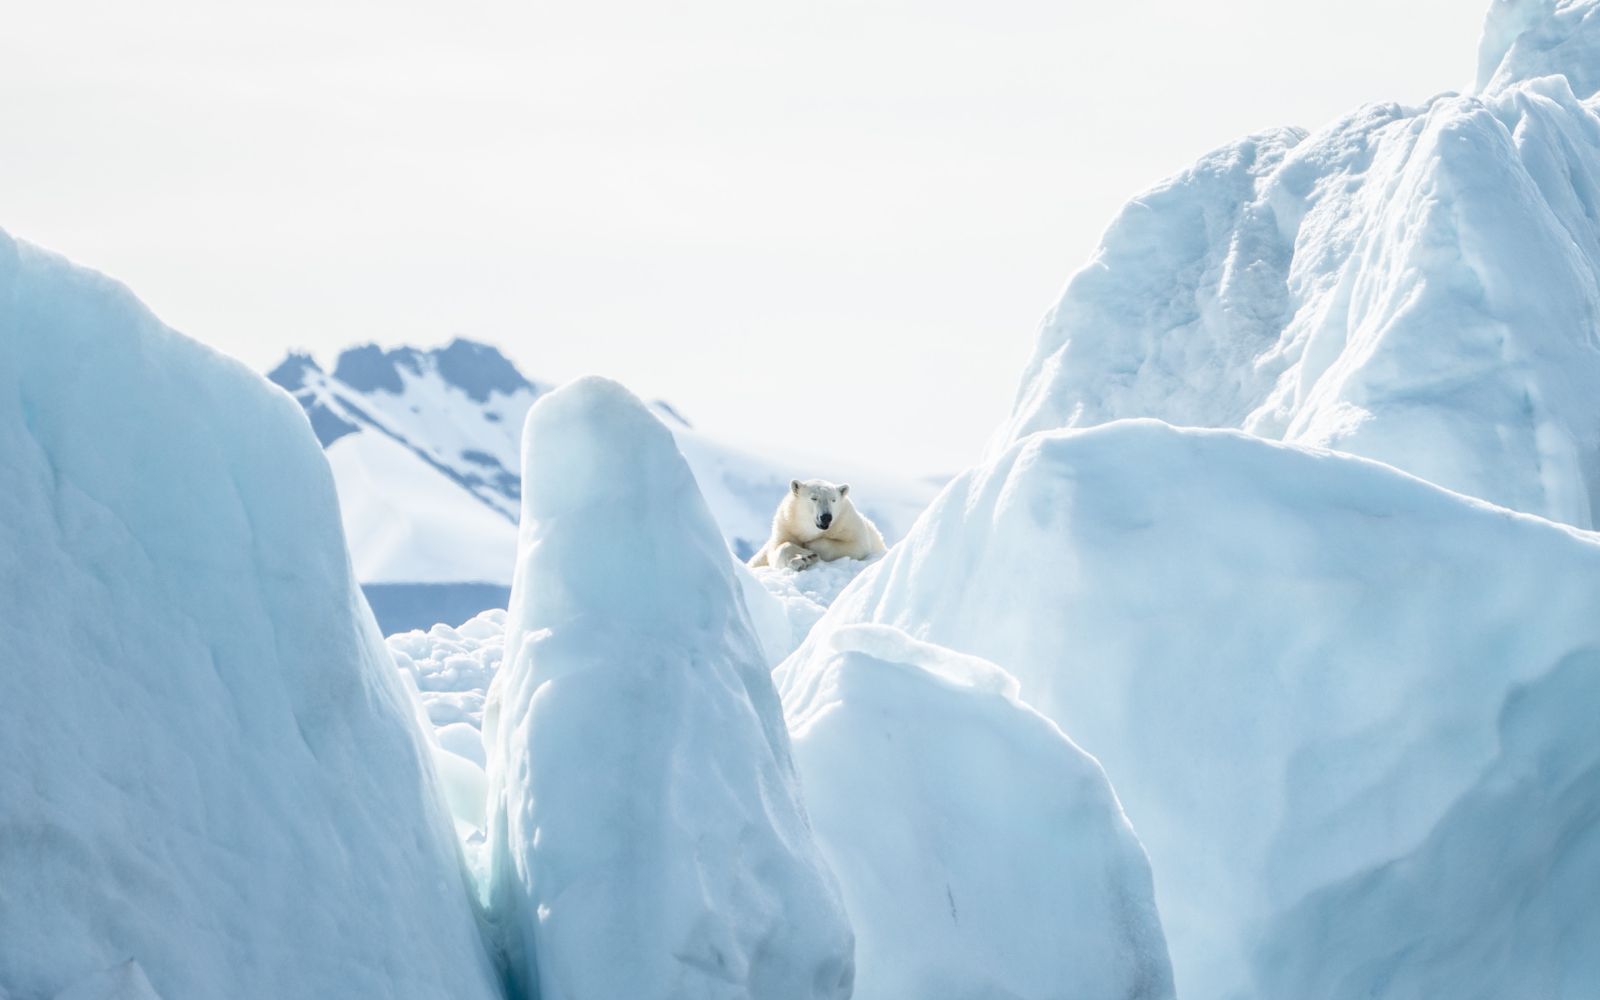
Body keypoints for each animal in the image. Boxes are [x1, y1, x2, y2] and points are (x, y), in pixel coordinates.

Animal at [748, 476, 889, 569]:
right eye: (814, 498)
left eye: (833, 499)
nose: (826, 517)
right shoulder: (787, 524)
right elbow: (778, 549)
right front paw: (801, 559)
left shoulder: (846, 522)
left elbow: (857, 545)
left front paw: (809, 552)